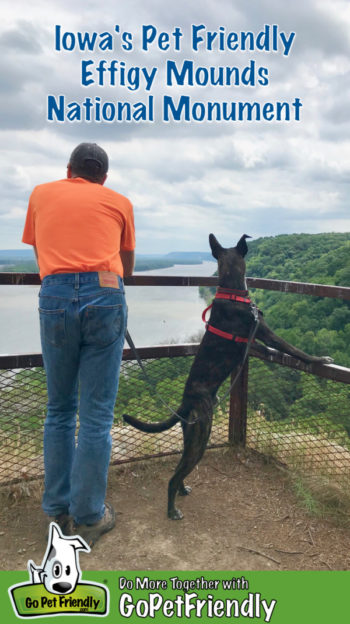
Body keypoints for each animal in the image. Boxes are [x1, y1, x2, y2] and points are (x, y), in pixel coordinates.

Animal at [123, 232, 334, 520]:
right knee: (174, 475)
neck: (232, 292)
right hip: (202, 434)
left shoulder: (253, 342)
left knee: (180, 471)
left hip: (191, 434)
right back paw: (172, 509)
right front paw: (320, 359)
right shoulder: (265, 332)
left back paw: (182, 491)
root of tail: (185, 402)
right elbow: (294, 349)